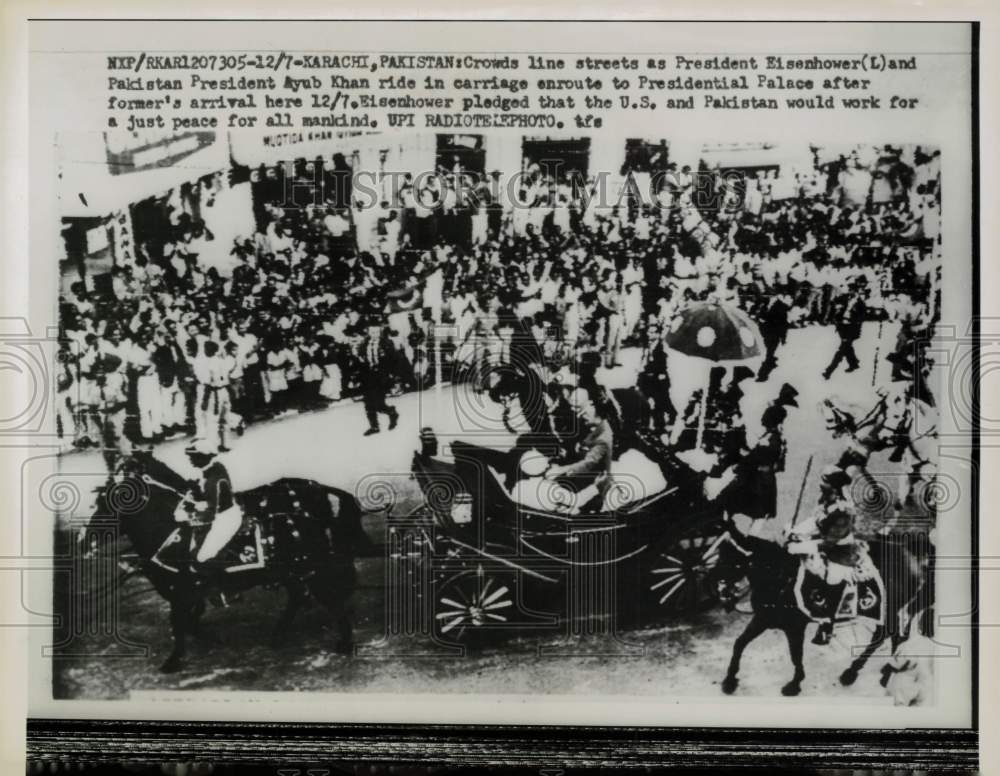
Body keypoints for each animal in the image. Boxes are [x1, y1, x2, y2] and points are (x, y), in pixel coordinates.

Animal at [89, 466, 368, 672]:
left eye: (105, 503)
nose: (87, 538)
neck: (170, 531)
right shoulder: (190, 593)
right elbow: (189, 618)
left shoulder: (182, 593)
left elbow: (178, 623)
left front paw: (174, 660)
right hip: (290, 571)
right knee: (301, 596)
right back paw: (278, 634)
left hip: (309, 566)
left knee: (328, 599)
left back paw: (343, 642)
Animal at [720, 532, 928, 696]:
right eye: (722, 558)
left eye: (736, 563)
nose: (722, 592)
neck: (780, 579)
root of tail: (909, 554)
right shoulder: (762, 620)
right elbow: (739, 643)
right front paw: (729, 680)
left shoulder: (794, 627)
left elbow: (796, 655)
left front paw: (794, 685)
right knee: (891, 634)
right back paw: (883, 670)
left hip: (887, 608)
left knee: (889, 634)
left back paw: (861, 673)